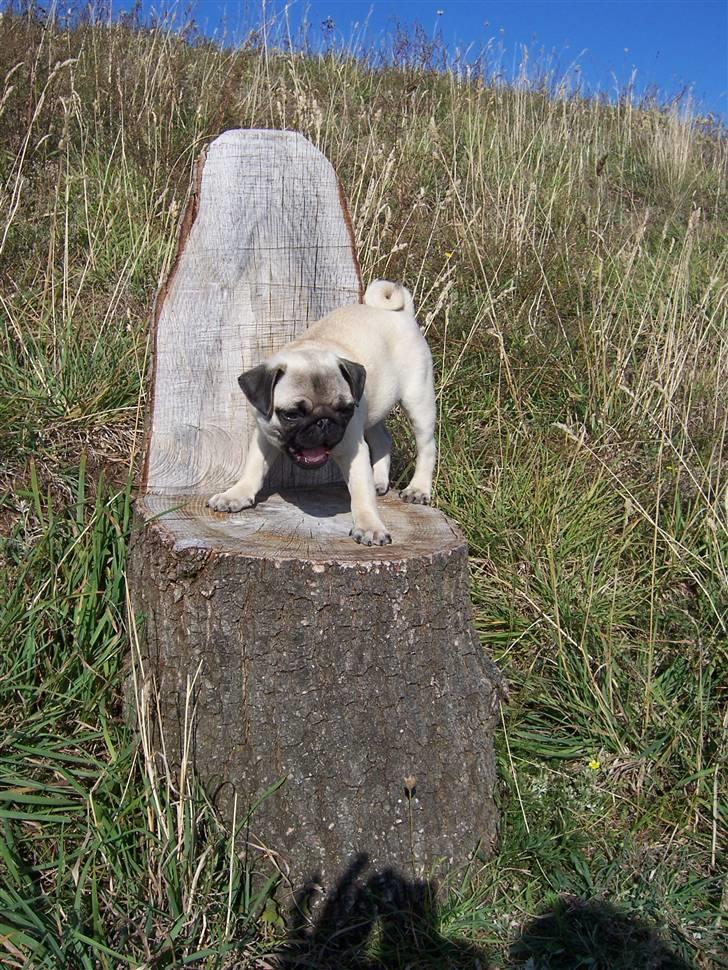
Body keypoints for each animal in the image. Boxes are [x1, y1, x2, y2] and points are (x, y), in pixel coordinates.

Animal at [208, 280, 436, 544]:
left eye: (344, 410)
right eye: (292, 415)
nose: (324, 421)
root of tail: (400, 313)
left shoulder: (353, 450)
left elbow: (361, 493)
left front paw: (369, 526)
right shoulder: (264, 435)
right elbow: (253, 468)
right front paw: (235, 495)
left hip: (418, 400)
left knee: (427, 446)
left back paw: (418, 489)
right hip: (375, 406)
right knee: (382, 438)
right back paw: (379, 480)